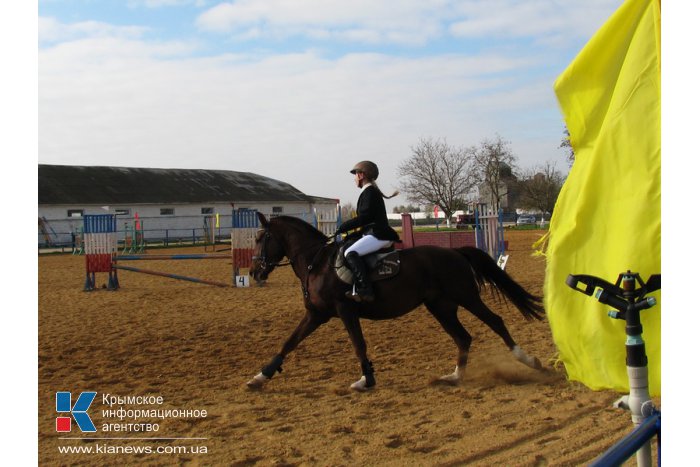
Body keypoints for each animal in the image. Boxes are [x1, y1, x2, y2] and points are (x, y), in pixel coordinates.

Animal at [247, 215, 548, 392]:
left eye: (261, 238)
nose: (254, 273)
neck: (316, 263)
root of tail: (455, 252)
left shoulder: (346, 311)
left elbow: (358, 344)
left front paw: (367, 380)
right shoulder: (316, 314)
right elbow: (289, 342)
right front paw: (261, 376)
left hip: (466, 297)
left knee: (495, 322)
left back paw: (529, 360)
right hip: (441, 306)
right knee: (463, 338)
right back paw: (453, 377)